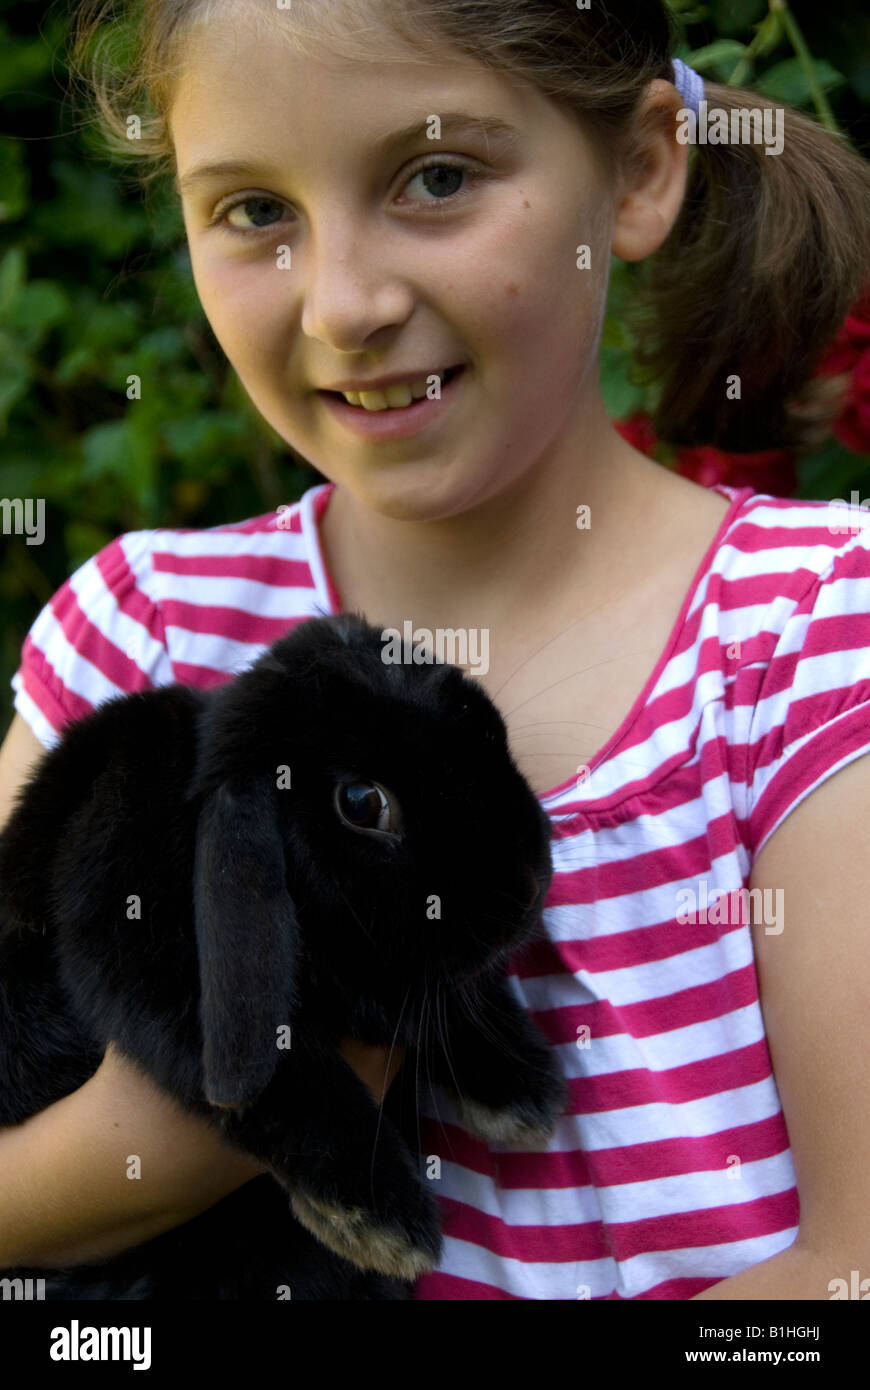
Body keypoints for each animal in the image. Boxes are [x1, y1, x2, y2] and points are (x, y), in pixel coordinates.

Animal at [0, 610, 565, 1299]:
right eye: (362, 804)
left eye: (489, 728)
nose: (531, 884)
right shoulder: (151, 957)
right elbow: (293, 1073)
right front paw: (383, 1222)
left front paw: (525, 1089)